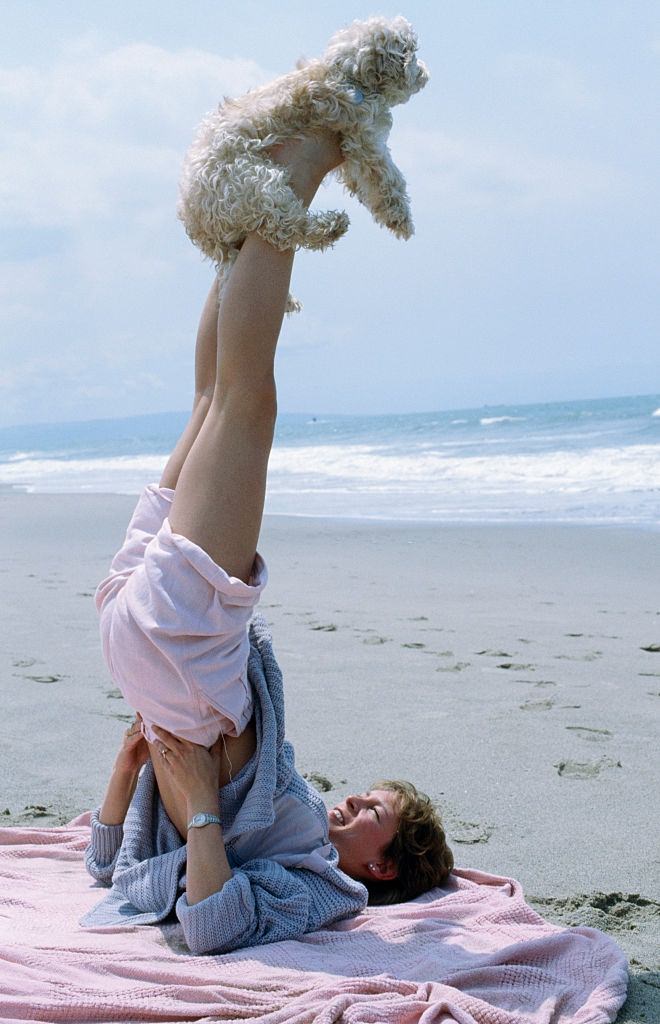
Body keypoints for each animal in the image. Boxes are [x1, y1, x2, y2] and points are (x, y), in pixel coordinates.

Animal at [178, 16, 429, 309]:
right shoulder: (364, 137)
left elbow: (365, 183)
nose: (425, 72)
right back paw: (332, 226)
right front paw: (401, 219)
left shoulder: (350, 151)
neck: (349, 74)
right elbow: (387, 176)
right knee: (285, 225)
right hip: (255, 182)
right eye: (412, 53)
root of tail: (196, 223)